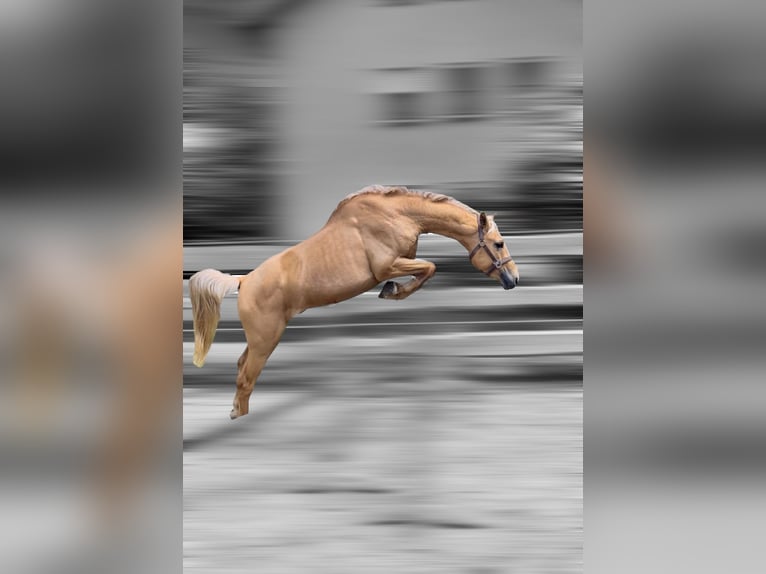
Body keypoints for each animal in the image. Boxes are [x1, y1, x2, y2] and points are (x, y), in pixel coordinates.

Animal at [189, 185, 520, 419]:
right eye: (498, 243)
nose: (514, 279)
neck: (397, 215)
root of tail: (244, 281)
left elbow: (426, 269)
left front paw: (392, 291)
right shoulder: (387, 266)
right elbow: (429, 268)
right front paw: (392, 291)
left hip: (260, 339)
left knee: (242, 368)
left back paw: (237, 412)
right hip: (265, 339)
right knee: (247, 377)